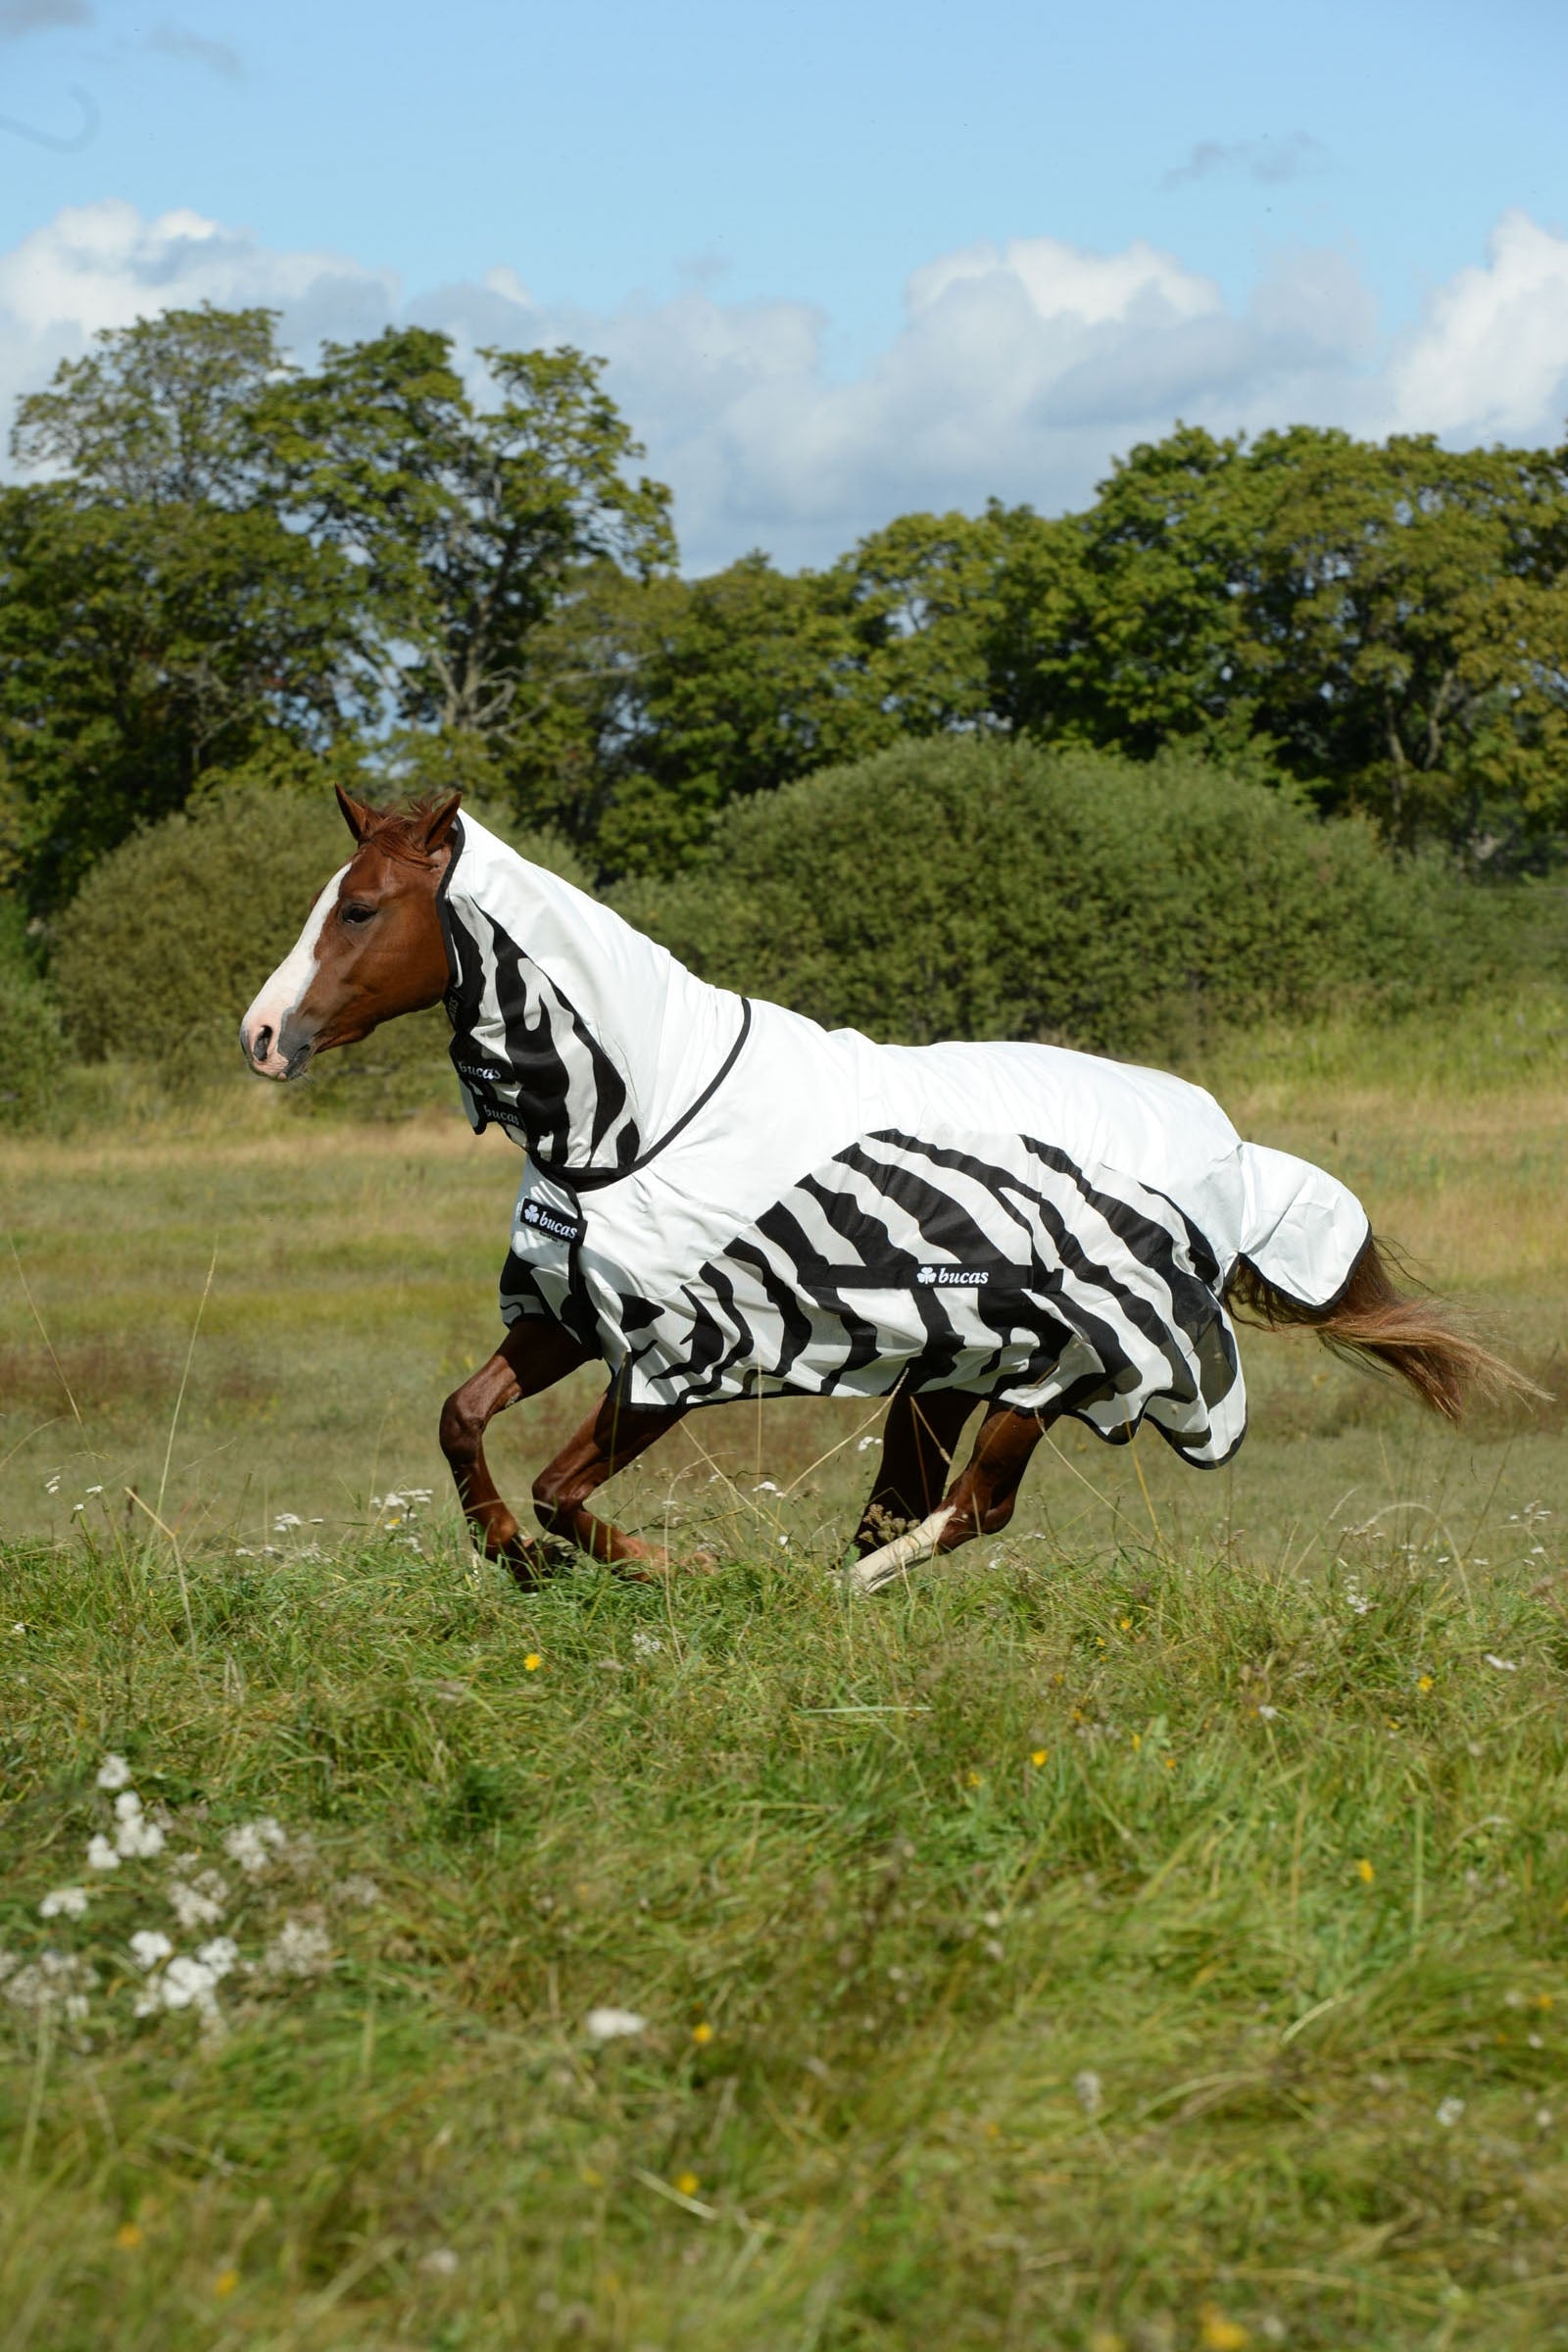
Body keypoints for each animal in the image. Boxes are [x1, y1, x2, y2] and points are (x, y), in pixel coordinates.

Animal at [240, 787, 1521, 1592]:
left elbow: (560, 1487)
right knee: (909, 1501)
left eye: (361, 909)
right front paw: (514, 1558)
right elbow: (461, 1423)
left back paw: (836, 1593)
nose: (262, 1036)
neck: (641, 1113)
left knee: (969, 1508)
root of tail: (1233, 1152)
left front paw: (661, 1565)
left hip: (1058, 1370)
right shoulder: (566, 1318)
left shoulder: (674, 1357)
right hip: (947, 1371)